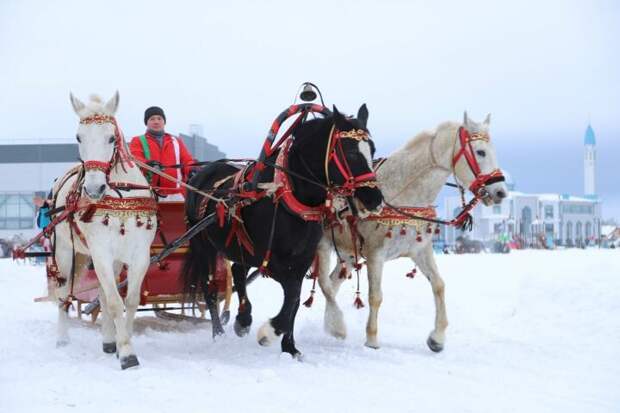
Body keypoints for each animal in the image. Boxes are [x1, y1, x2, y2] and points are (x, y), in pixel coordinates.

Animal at [50, 92, 157, 366]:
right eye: (79, 137)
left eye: (111, 137)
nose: (94, 189)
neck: (121, 194)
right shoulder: (100, 253)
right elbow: (114, 302)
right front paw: (127, 353)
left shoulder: (140, 255)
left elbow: (130, 300)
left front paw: (121, 343)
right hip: (65, 251)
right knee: (64, 293)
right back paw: (62, 337)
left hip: (115, 259)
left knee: (101, 291)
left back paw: (109, 339)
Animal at [182, 104, 382, 356]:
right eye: (351, 152)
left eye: (372, 150)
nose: (375, 199)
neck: (290, 193)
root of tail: (200, 172)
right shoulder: (274, 262)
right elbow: (292, 294)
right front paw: (269, 332)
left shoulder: (302, 258)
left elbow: (294, 300)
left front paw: (289, 347)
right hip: (203, 245)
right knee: (209, 288)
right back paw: (219, 332)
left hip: (241, 245)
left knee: (237, 271)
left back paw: (242, 320)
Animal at [318, 112, 506, 350]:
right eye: (480, 152)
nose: (501, 192)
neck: (401, 193)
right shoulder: (375, 254)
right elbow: (375, 296)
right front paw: (372, 339)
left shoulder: (420, 251)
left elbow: (438, 285)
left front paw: (437, 337)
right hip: (322, 245)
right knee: (325, 284)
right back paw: (335, 326)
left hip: (350, 255)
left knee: (332, 285)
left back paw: (331, 323)